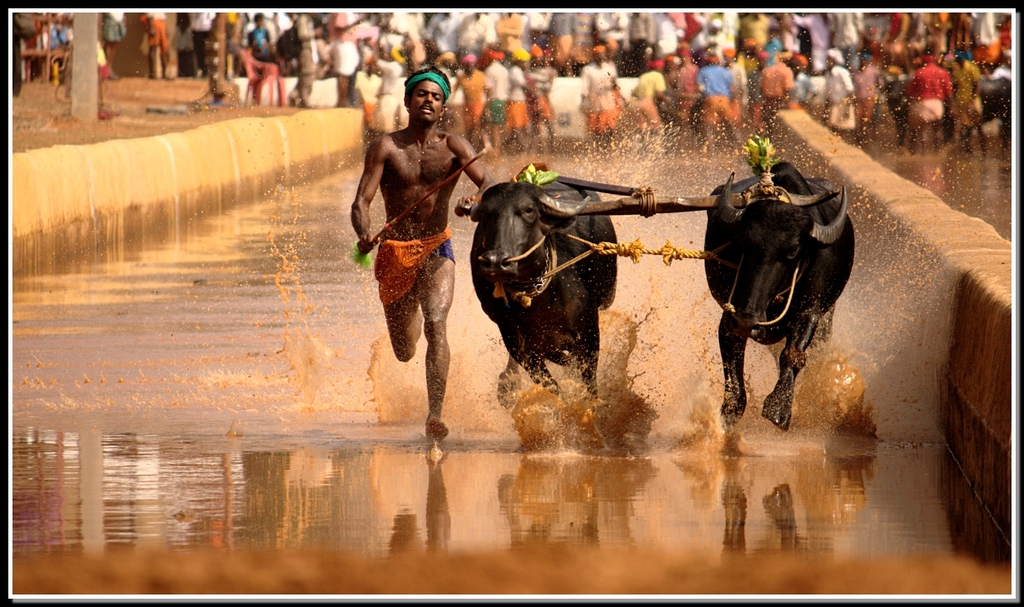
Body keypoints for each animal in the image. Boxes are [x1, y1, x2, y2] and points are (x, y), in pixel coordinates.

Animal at [466, 181, 614, 407]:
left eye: (529, 210)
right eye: (485, 213)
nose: (495, 261)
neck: (542, 303)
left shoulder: (589, 337)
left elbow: (589, 385)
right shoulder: (522, 349)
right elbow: (553, 387)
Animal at [704, 160, 856, 429]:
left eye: (793, 251)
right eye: (744, 242)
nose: (747, 321)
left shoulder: (809, 312)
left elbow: (793, 354)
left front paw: (779, 408)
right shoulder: (730, 318)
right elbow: (732, 370)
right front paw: (727, 415)